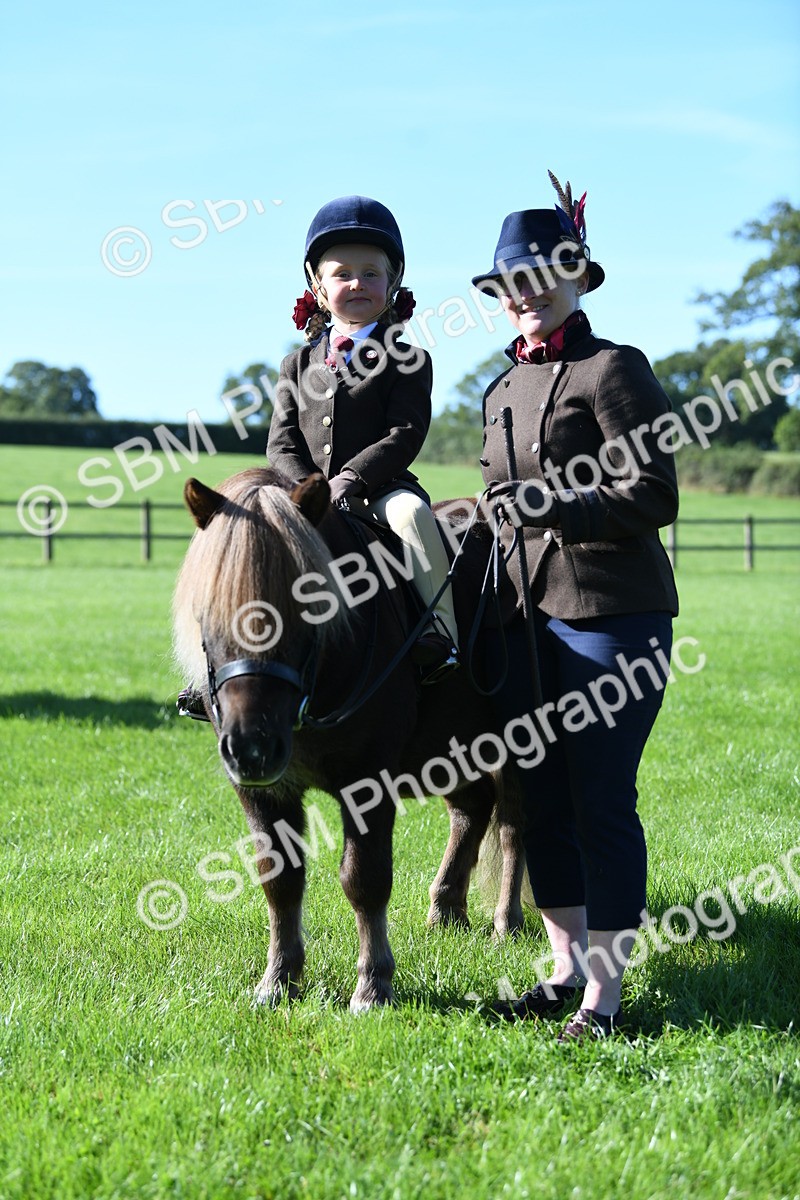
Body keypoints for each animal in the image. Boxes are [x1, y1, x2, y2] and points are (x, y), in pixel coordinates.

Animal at [172, 466, 526, 1011]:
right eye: (208, 609)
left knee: (511, 827)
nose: (252, 748)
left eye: (306, 606)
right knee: (472, 809)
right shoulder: (261, 792)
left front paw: (374, 984)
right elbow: (280, 877)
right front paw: (278, 979)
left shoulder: (369, 781)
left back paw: (506, 922)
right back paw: (446, 909)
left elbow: (365, 878)